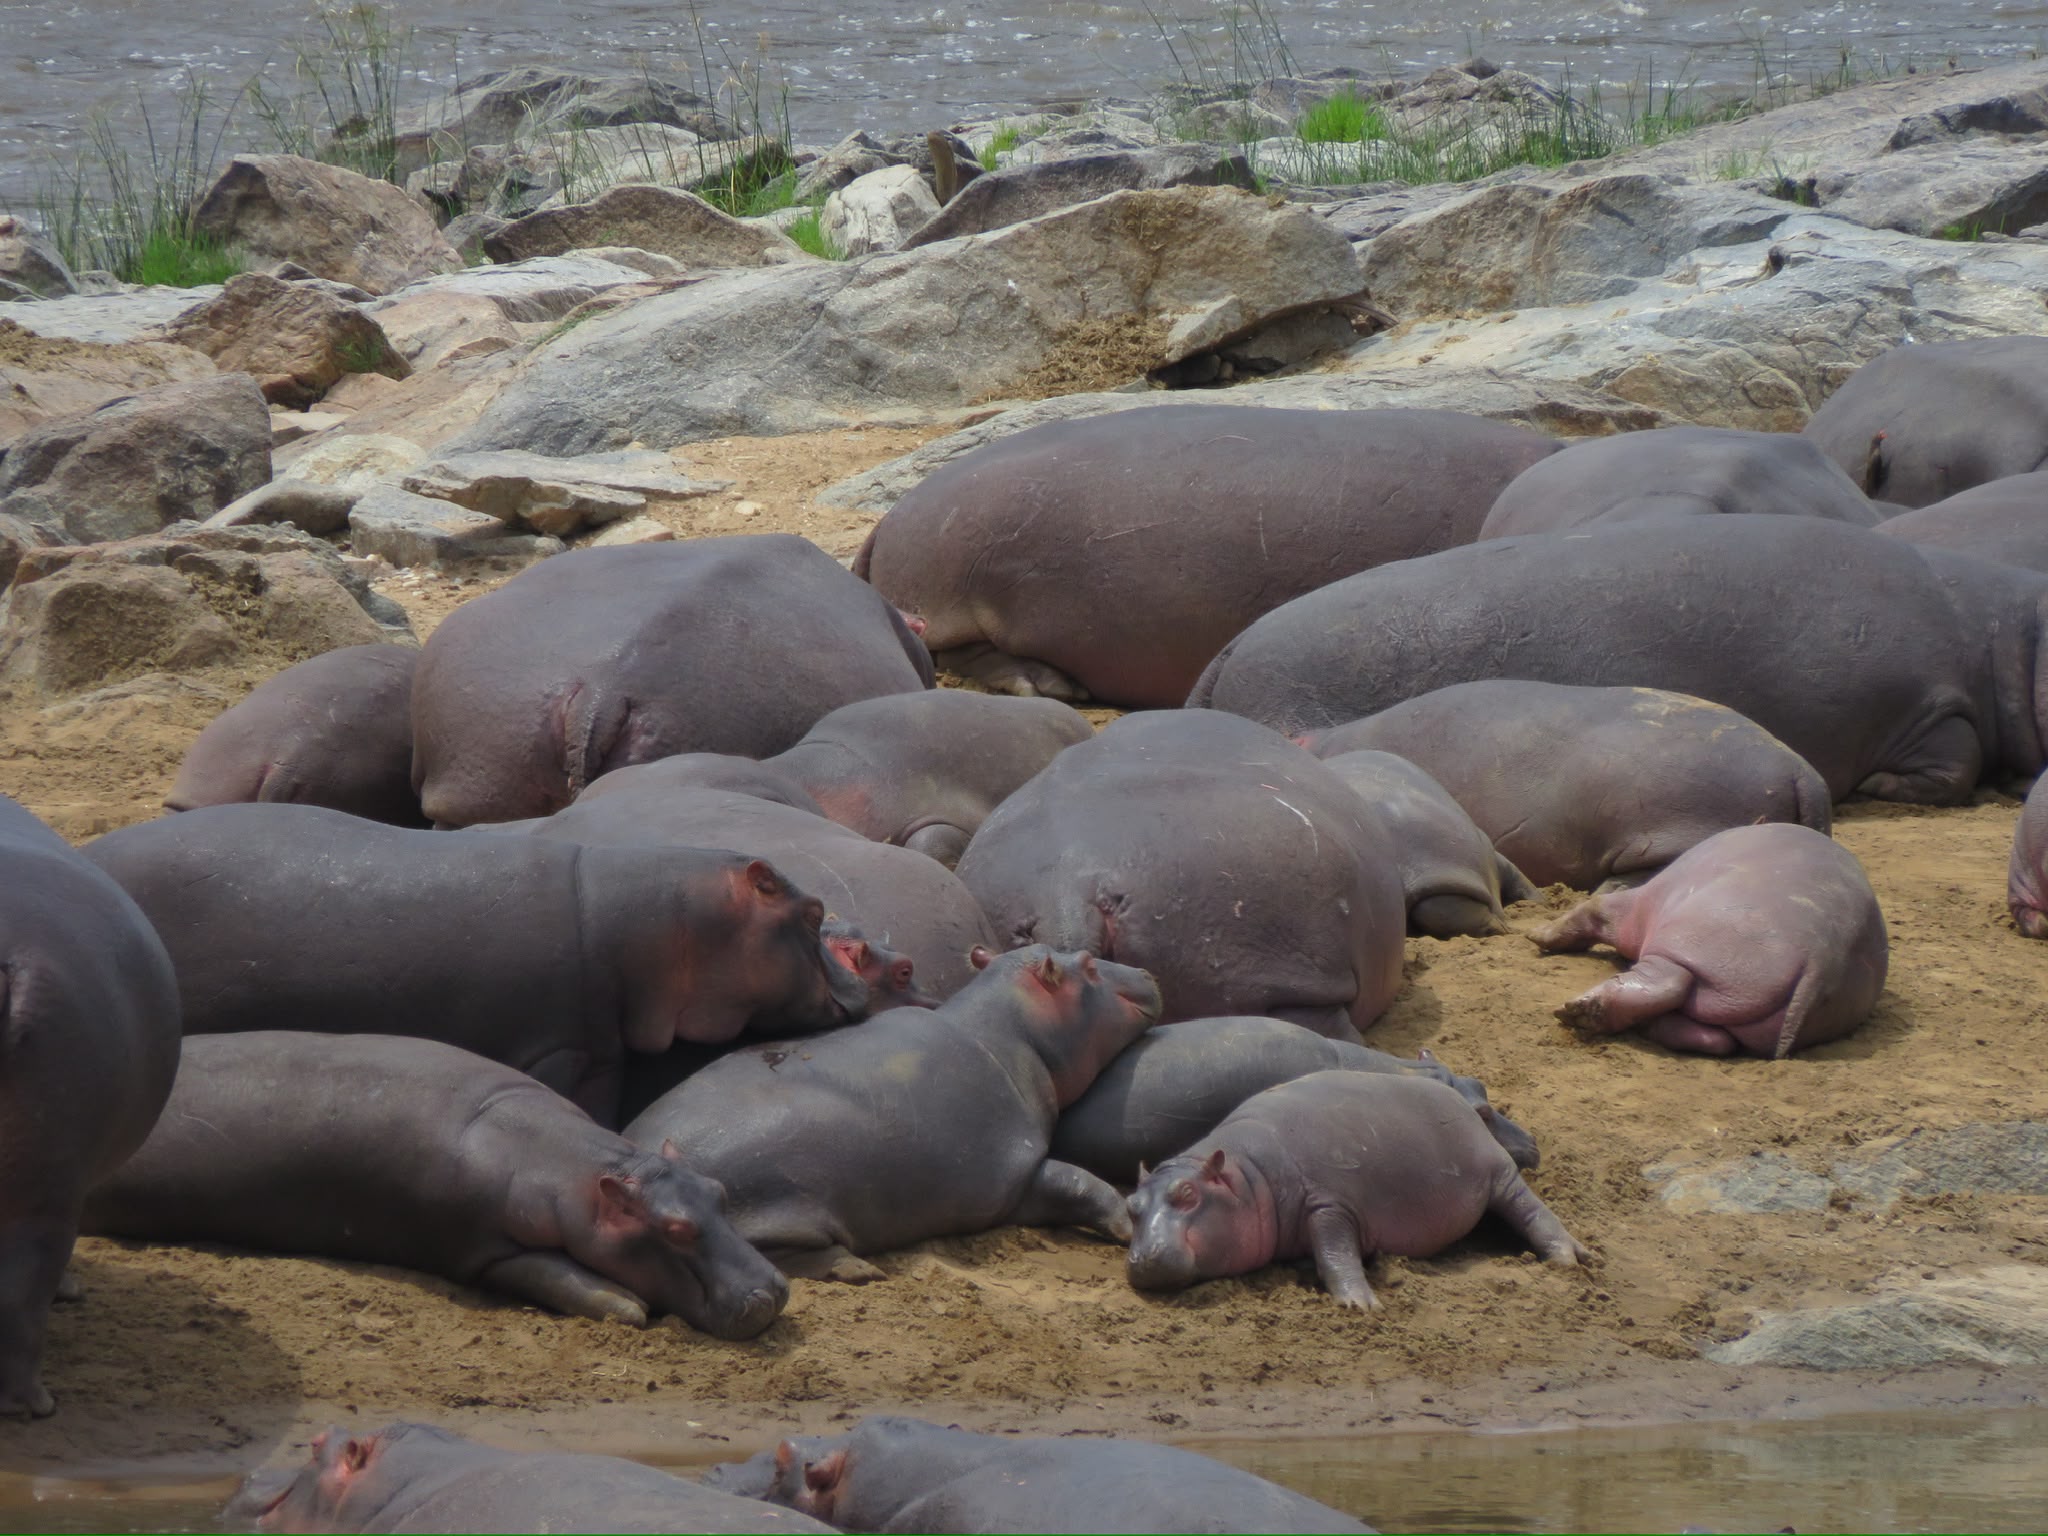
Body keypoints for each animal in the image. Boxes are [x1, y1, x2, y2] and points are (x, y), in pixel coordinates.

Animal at [85, 1033, 788, 1336]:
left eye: (721, 1192)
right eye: (676, 1229)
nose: (772, 1292)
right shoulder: (485, 1248)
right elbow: (565, 1278)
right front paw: (628, 1305)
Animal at [624, 946, 1161, 1280]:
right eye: (1089, 965)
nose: (1148, 972)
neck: (1017, 1030)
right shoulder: (1014, 1172)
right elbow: (1079, 1182)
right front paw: (1125, 1223)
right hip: (778, 1208)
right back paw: (860, 1270)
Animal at [1126, 1071, 1587, 1306]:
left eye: (1187, 1194)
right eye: (1130, 1206)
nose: (1143, 1257)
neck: (1245, 1175)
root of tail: (1457, 1098)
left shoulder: (1330, 1204)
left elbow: (1336, 1253)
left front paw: (1360, 1305)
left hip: (1499, 1175)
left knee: (1532, 1211)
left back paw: (1569, 1259)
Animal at [1529, 823, 1888, 1057]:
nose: (1529, 930)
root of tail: (1824, 961)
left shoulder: (1634, 908)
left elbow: (1593, 910)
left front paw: (1536, 935)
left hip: (1689, 942)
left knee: (1665, 981)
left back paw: (1576, 1010)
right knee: (1716, 1040)